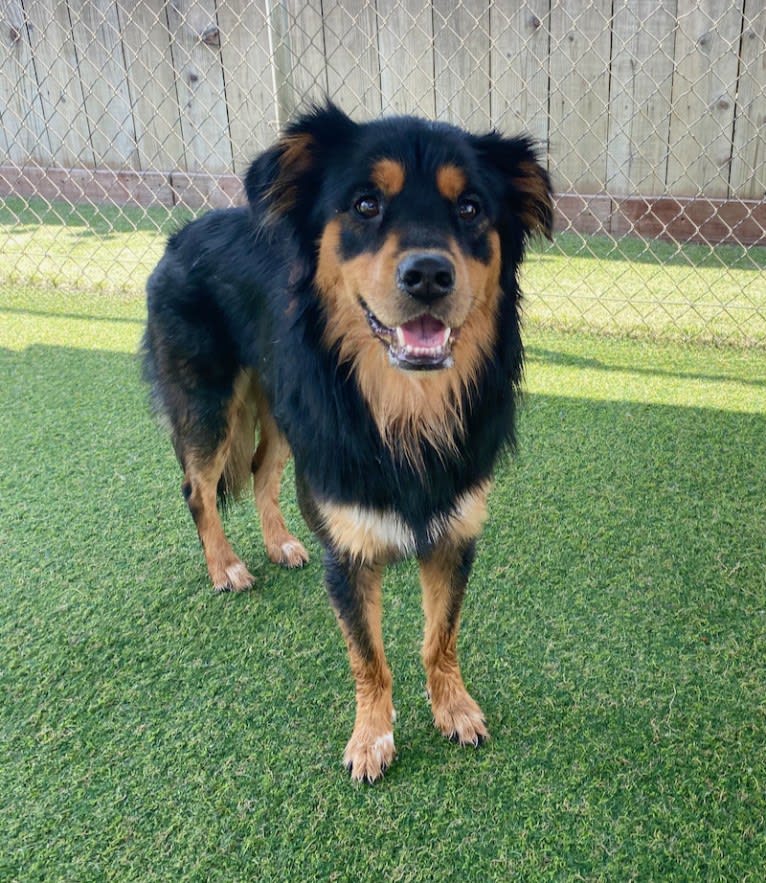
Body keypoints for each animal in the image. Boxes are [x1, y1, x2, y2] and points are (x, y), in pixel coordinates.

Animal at [144, 100, 552, 784]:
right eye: (365, 204)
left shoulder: (456, 531)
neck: (405, 412)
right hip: (209, 402)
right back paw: (226, 566)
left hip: (284, 414)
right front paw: (371, 739)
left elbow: (440, 637)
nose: (428, 274)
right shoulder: (349, 548)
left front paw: (454, 709)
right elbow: (369, 656)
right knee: (198, 489)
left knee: (261, 471)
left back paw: (281, 544)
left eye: (470, 208)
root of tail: (182, 233)